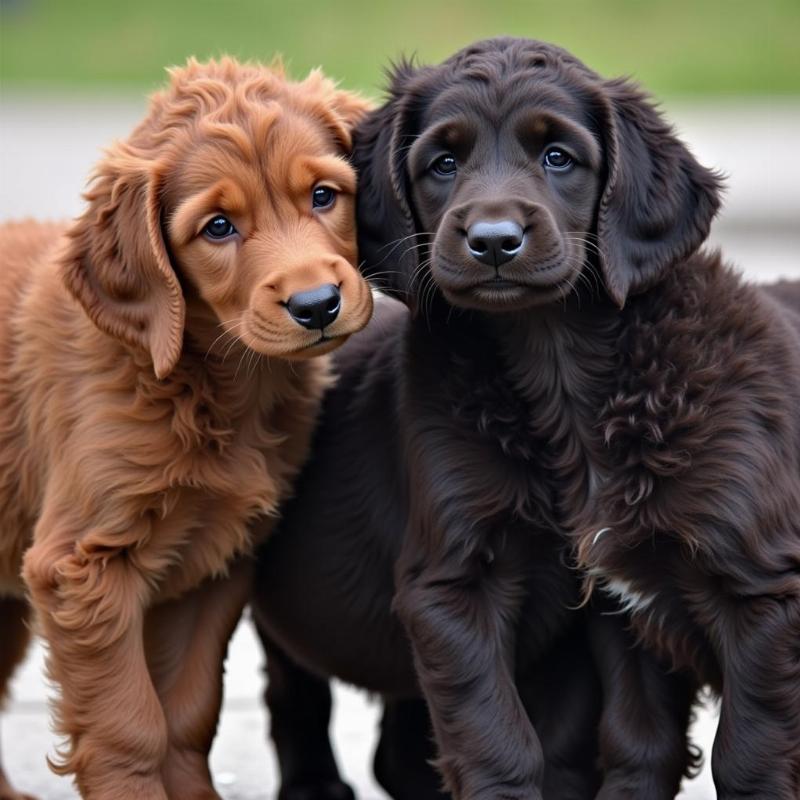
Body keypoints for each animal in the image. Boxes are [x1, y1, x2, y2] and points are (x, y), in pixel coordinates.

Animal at [0, 57, 374, 800]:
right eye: (218, 228)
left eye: (324, 195)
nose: (317, 305)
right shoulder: (81, 568)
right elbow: (127, 727)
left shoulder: (215, 564)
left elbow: (187, 714)